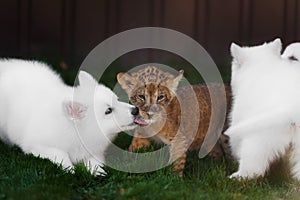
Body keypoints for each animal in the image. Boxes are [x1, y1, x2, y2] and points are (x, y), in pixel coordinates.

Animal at [0, 58, 141, 174]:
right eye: (108, 111)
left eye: (117, 100)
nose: (135, 110)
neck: (75, 130)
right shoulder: (37, 145)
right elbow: (60, 154)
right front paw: (69, 168)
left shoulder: (94, 151)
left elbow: (94, 161)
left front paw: (97, 171)